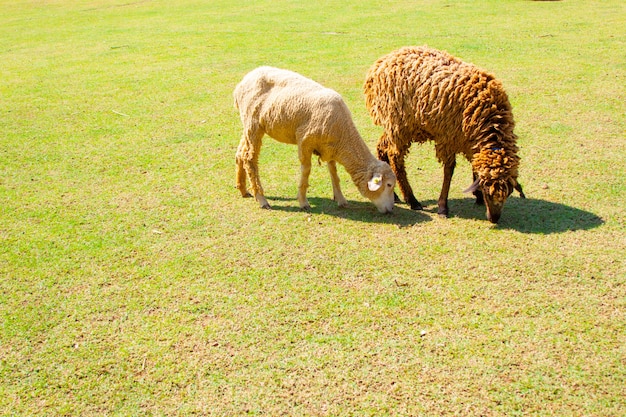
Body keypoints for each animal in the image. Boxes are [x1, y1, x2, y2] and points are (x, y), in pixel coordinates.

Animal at [234, 67, 394, 214]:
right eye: (389, 185)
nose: (390, 210)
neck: (343, 134)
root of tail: (243, 82)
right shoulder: (304, 141)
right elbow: (306, 171)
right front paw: (303, 201)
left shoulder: (330, 148)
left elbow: (334, 173)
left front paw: (340, 199)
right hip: (253, 123)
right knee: (249, 158)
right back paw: (261, 198)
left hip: (248, 124)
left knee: (240, 153)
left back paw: (243, 189)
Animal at [364, 44, 524, 224]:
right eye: (488, 192)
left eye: (508, 193)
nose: (494, 219)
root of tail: (379, 64)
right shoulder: (448, 138)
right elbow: (449, 171)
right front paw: (443, 207)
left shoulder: (469, 141)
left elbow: (474, 165)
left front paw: (477, 196)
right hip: (398, 123)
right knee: (396, 157)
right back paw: (412, 200)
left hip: (396, 126)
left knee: (382, 147)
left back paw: (396, 195)